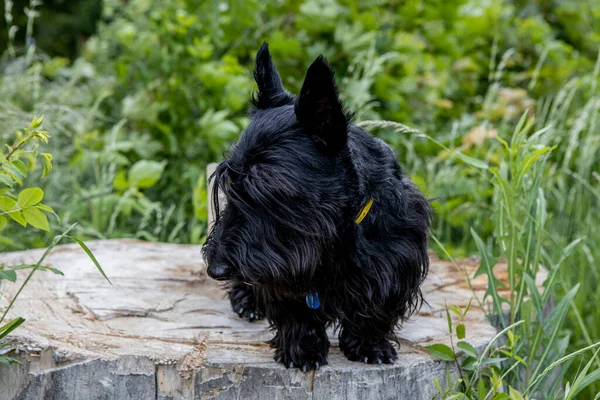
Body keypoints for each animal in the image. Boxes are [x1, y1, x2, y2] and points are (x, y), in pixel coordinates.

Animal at [204, 43, 428, 372]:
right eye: (228, 184)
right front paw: (303, 351)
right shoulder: (285, 270)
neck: (337, 229)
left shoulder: (395, 260)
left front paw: (370, 346)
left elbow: (377, 309)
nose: (216, 269)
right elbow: (297, 313)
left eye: (267, 187)